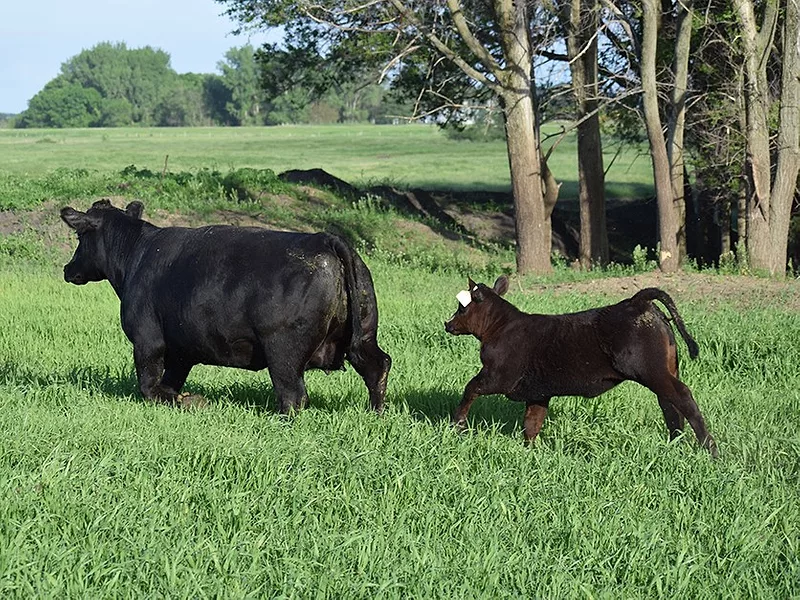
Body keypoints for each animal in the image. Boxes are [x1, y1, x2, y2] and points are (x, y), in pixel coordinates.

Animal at [60, 199, 391, 413]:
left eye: (79, 236)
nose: (67, 268)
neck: (137, 255)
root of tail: (324, 240)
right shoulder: (181, 349)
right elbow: (169, 383)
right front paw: (184, 399)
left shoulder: (147, 340)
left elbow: (149, 386)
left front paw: (189, 401)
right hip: (363, 337)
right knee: (378, 367)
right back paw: (375, 413)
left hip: (283, 350)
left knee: (293, 395)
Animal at [444, 276, 717, 457]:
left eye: (461, 307)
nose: (447, 324)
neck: (501, 327)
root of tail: (636, 301)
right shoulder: (538, 393)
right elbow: (531, 424)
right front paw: (529, 453)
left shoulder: (497, 376)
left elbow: (470, 389)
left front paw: (458, 425)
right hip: (665, 371)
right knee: (670, 405)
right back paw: (675, 445)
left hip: (653, 372)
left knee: (683, 397)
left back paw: (710, 450)